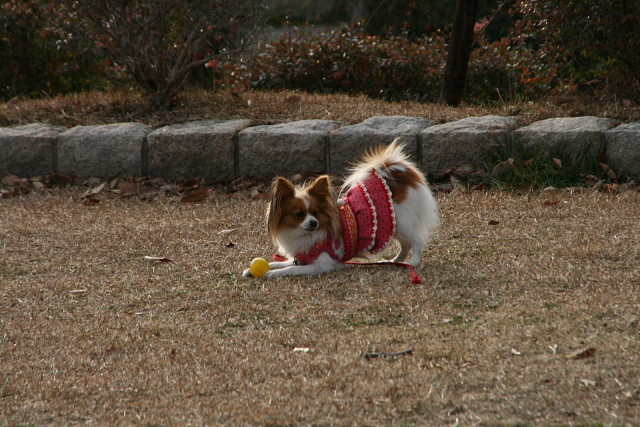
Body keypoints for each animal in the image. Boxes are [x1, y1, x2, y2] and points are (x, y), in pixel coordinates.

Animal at [242, 139, 438, 280]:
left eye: (316, 213)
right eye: (299, 215)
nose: (313, 223)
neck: (305, 235)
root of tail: (399, 175)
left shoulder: (321, 263)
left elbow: (289, 269)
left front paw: (272, 273)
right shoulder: (302, 257)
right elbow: (283, 263)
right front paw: (257, 268)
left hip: (403, 222)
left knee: (417, 241)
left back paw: (412, 262)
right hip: (393, 225)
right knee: (405, 245)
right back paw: (394, 261)